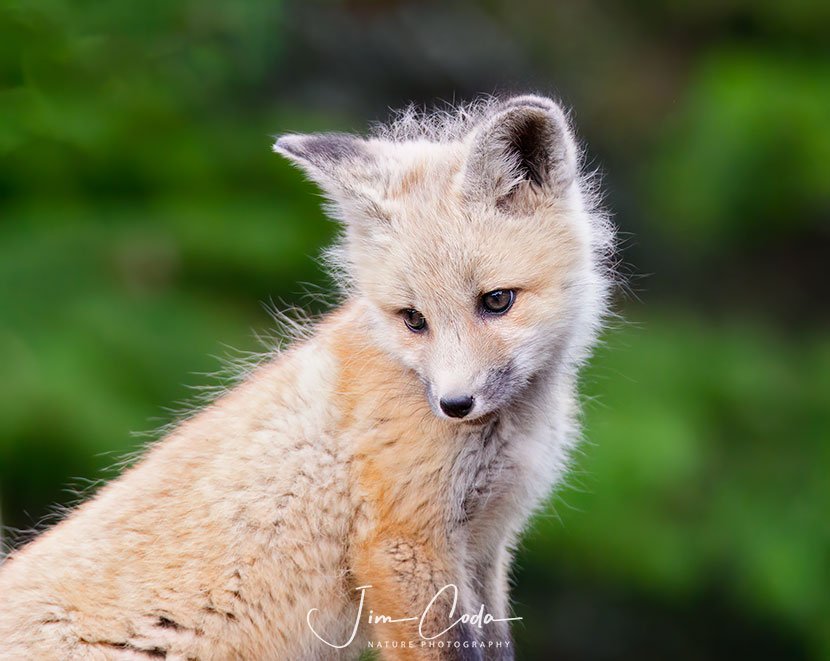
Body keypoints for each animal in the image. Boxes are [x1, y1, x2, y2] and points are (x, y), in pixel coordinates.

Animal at [0, 94, 613, 660]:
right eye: (413, 319)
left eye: (497, 301)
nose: (454, 404)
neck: (508, 437)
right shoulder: (401, 542)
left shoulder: (486, 545)